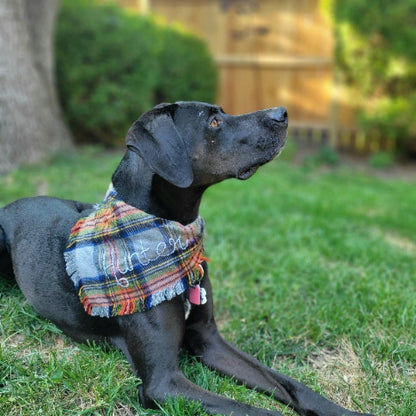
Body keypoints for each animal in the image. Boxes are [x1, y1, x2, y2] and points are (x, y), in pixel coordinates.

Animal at [0, 101, 370, 416]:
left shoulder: (209, 341)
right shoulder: (163, 383)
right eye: (213, 122)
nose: (282, 113)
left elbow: (291, 384)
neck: (169, 230)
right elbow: (255, 410)